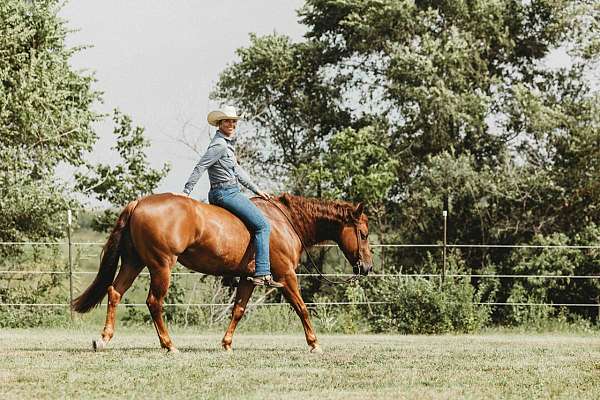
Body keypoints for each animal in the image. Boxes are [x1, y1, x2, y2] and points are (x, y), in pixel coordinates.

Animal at [69, 192, 370, 352]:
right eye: (364, 234)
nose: (366, 267)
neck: (284, 222)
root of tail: (138, 204)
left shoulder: (248, 279)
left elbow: (238, 310)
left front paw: (226, 343)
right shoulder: (286, 276)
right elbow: (302, 308)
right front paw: (314, 343)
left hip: (134, 263)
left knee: (114, 292)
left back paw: (104, 339)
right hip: (161, 266)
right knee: (154, 302)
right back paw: (169, 345)